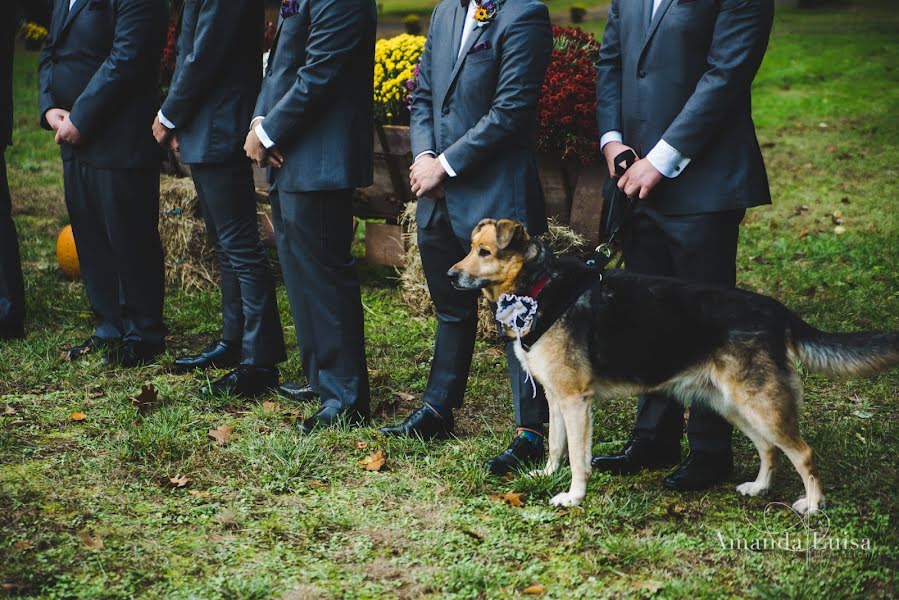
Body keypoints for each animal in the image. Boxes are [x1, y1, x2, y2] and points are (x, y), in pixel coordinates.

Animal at [450, 218, 899, 512]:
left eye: (484, 252)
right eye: (470, 249)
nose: (451, 275)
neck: (540, 285)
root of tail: (777, 311)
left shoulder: (576, 401)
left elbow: (578, 456)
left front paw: (574, 496)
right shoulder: (557, 398)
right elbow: (558, 446)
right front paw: (546, 476)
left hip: (761, 404)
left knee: (803, 453)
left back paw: (813, 504)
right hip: (735, 405)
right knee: (769, 448)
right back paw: (758, 488)